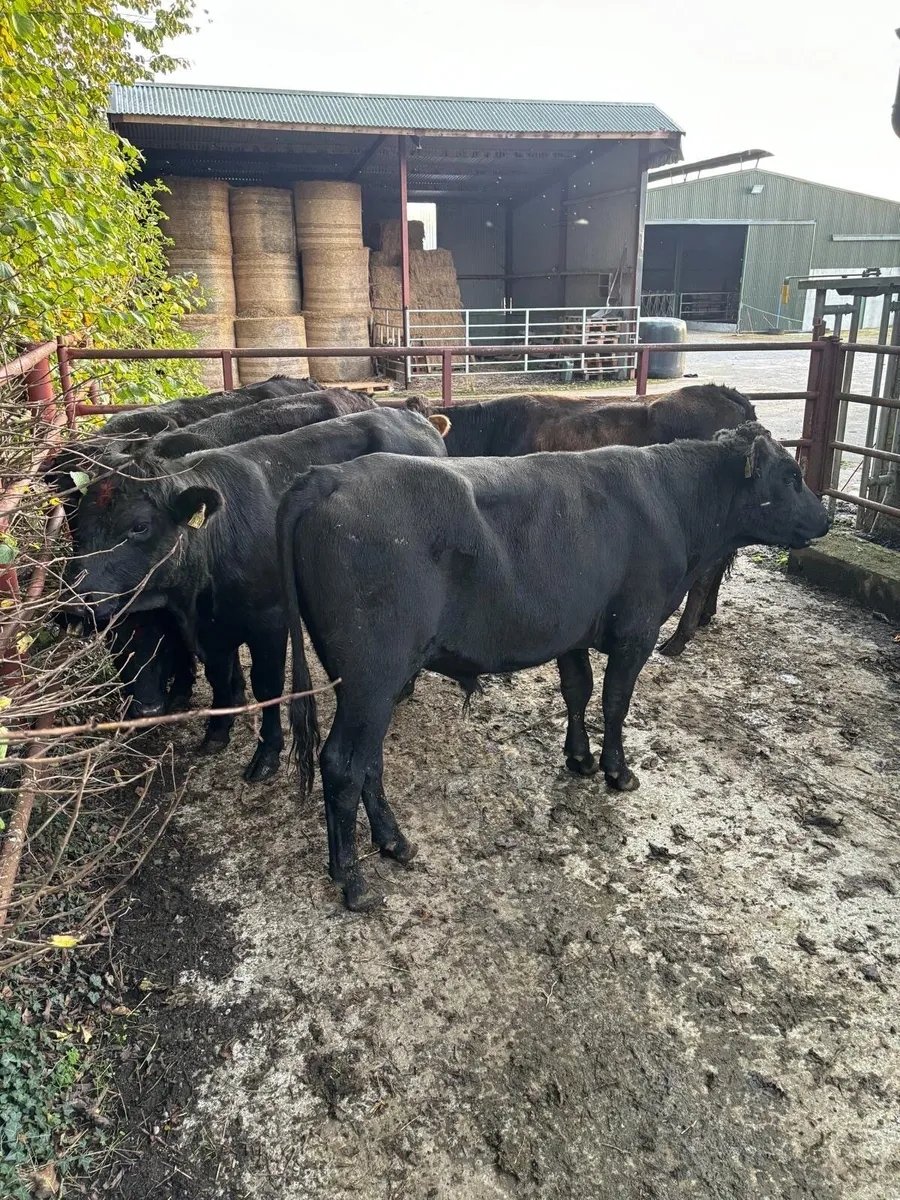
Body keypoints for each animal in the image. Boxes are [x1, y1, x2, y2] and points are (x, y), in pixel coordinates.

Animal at [63, 408, 451, 780]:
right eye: (78, 527)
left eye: (139, 526)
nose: (76, 598)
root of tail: (414, 418)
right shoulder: (213, 629)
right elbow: (219, 677)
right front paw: (217, 732)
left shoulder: (270, 620)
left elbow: (267, 686)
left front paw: (266, 755)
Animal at [278, 422, 830, 910]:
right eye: (790, 476)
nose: (824, 520)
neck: (670, 501)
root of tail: (326, 476)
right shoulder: (636, 632)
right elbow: (614, 702)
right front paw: (616, 770)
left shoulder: (572, 632)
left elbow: (577, 691)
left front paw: (579, 757)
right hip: (372, 677)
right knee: (343, 764)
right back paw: (353, 881)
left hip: (369, 686)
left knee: (369, 760)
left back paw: (395, 842)